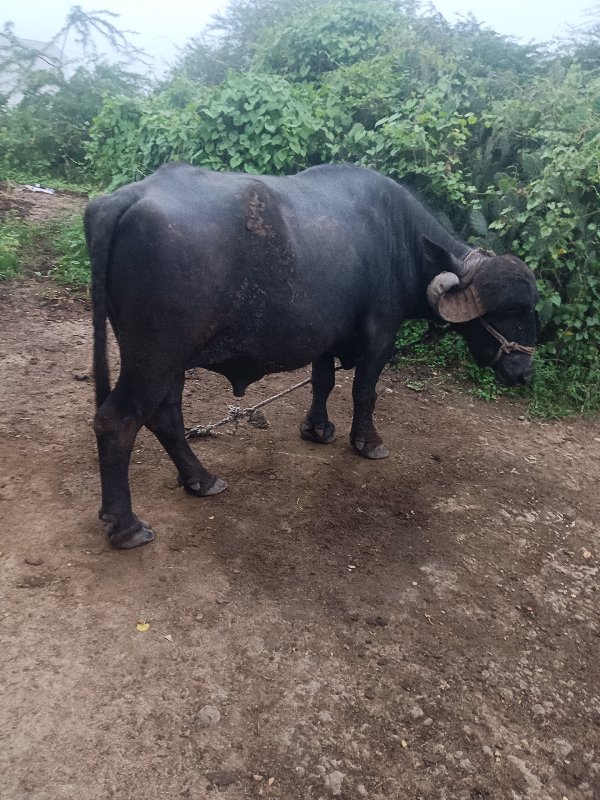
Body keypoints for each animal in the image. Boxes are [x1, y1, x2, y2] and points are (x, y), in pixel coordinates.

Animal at [84, 163, 537, 549]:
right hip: (154, 359)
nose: (524, 372)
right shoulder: (380, 336)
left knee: (166, 417)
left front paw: (317, 429)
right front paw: (367, 442)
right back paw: (127, 525)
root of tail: (125, 198)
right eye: (510, 311)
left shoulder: (325, 338)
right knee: (117, 422)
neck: (400, 242)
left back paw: (201, 479)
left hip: (169, 363)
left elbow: (323, 381)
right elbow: (364, 392)